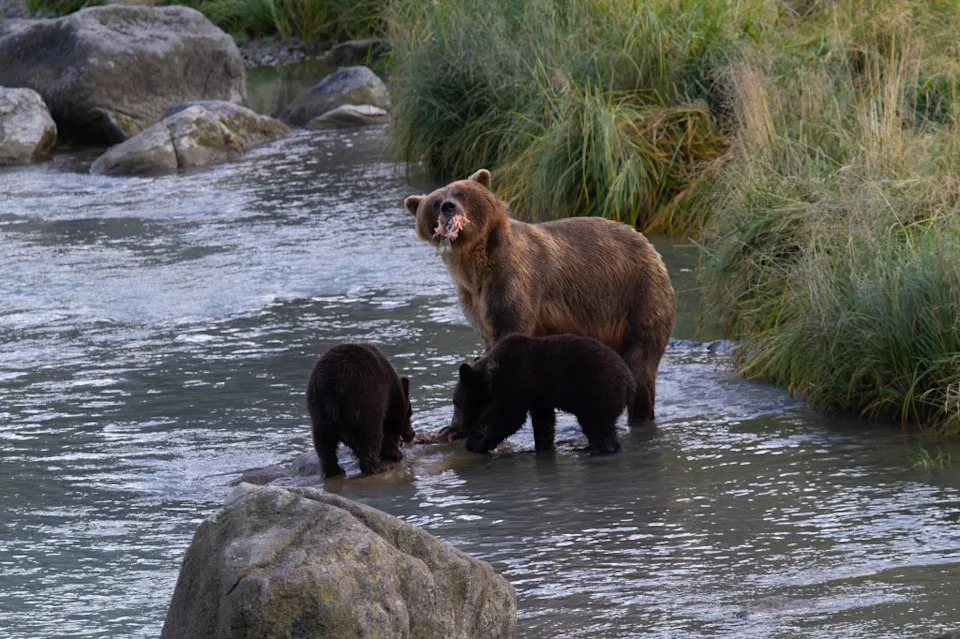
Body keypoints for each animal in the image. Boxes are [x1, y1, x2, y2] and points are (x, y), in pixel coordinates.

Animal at [305, 344, 415, 477]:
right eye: (410, 414)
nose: (412, 434)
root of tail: (331, 388)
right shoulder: (388, 400)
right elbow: (388, 430)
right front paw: (395, 454)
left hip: (319, 412)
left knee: (323, 443)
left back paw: (334, 470)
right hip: (364, 401)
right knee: (371, 434)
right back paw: (378, 466)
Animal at [404, 168, 675, 426]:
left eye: (461, 193)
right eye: (435, 202)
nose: (448, 207)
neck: (475, 265)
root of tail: (648, 245)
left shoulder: (512, 279)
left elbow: (508, 329)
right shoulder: (473, 298)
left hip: (635, 297)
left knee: (640, 365)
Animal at [450, 333, 636, 455]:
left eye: (457, 403)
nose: (455, 427)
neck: (492, 376)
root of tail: (629, 381)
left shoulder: (516, 382)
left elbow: (510, 418)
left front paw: (476, 443)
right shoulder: (538, 398)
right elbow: (543, 422)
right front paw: (542, 446)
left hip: (596, 391)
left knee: (598, 425)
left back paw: (600, 448)